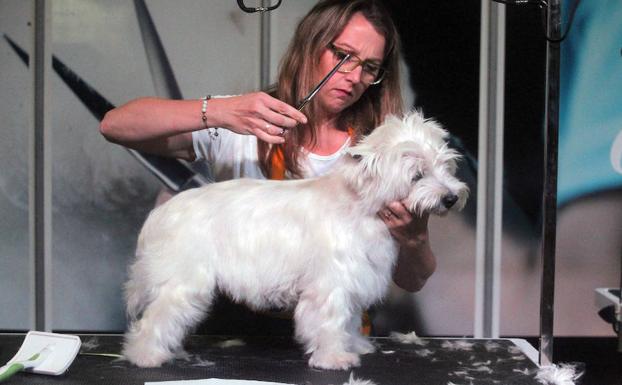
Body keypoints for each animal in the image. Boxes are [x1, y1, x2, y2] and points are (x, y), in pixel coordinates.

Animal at [122, 109, 468, 368]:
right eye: (417, 176)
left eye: (445, 166)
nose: (451, 198)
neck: (360, 204)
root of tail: (162, 212)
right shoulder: (331, 282)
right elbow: (330, 320)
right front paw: (334, 358)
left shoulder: (355, 279)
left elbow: (350, 319)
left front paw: (355, 345)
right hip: (183, 283)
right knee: (156, 318)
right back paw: (146, 356)